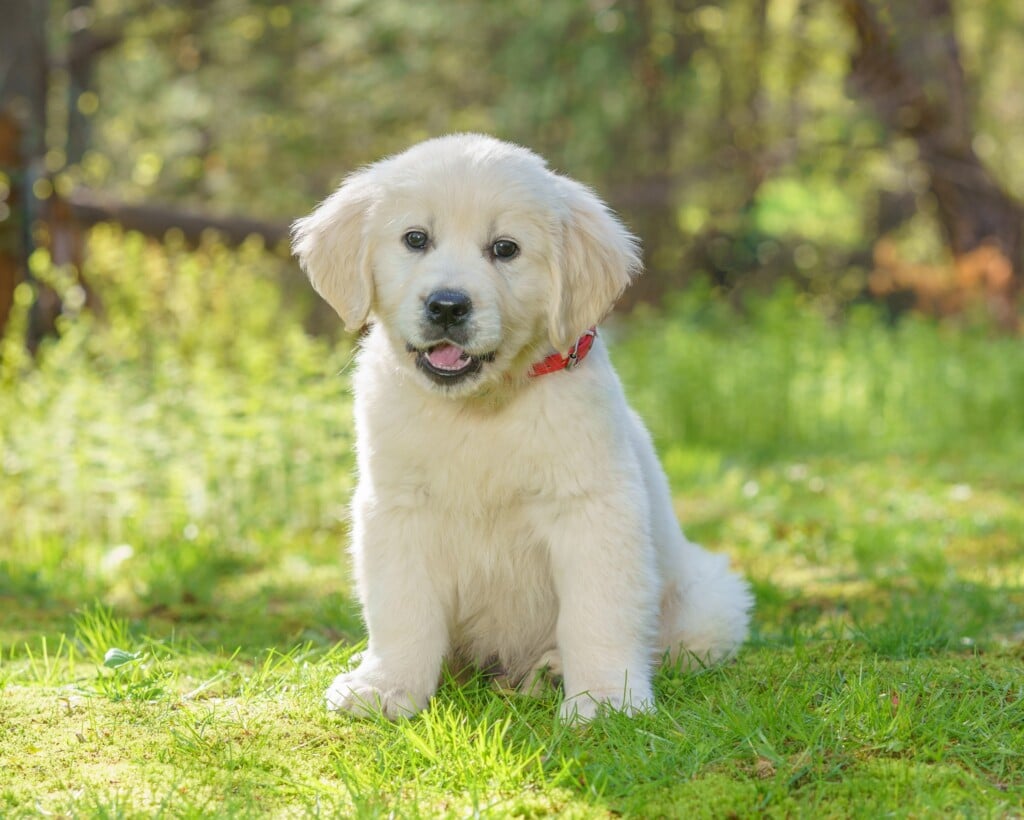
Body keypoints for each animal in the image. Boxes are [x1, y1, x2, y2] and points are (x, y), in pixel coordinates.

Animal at [292, 136, 749, 724]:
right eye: (415, 239)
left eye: (505, 249)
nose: (447, 306)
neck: (480, 408)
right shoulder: (397, 508)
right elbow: (402, 611)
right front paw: (387, 686)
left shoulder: (592, 506)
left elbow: (596, 613)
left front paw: (603, 699)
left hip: (709, 599)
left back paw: (552, 670)